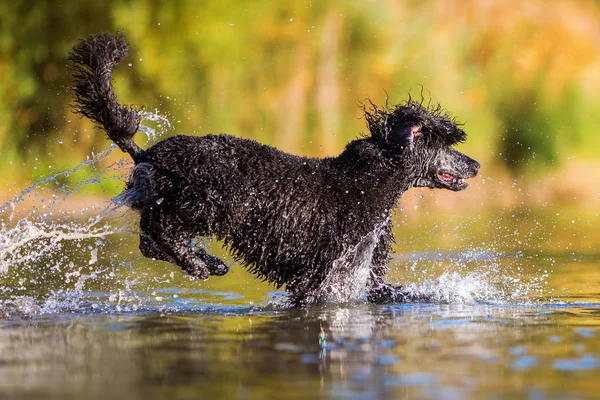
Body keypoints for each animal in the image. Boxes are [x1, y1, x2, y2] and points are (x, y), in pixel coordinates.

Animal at [68, 32, 480, 306]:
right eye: (442, 142)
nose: (475, 164)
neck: (366, 180)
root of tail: (151, 153)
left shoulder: (367, 275)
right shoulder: (323, 276)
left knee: (150, 241)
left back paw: (206, 261)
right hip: (207, 203)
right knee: (158, 230)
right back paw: (201, 265)